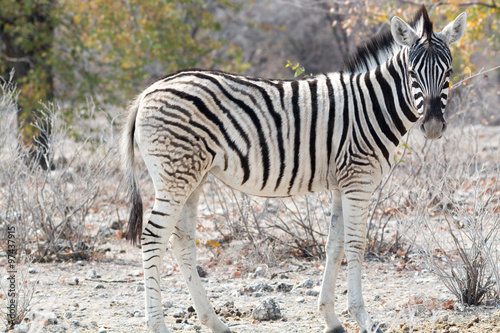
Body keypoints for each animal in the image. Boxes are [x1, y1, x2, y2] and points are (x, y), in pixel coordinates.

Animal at [120, 5, 464, 332]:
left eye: (448, 72)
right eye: (413, 73)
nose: (434, 126)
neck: (371, 107)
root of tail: (148, 91)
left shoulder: (342, 183)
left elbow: (335, 246)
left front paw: (331, 319)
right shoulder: (358, 179)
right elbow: (356, 245)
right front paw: (363, 320)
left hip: (194, 175)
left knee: (181, 241)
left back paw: (215, 322)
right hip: (175, 175)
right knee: (153, 237)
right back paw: (158, 326)